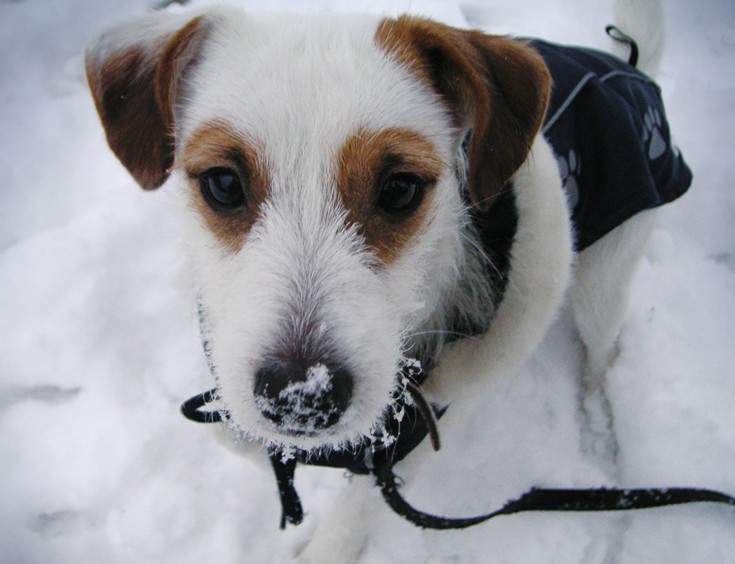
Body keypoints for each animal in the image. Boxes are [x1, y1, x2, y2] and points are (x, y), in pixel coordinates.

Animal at [85, 1, 688, 560]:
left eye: (399, 189)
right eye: (224, 183)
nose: (302, 398)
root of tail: (627, 66)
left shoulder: (421, 432)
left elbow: (352, 517)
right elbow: (240, 436)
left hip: (602, 282)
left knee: (603, 353)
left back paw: (597, 428)